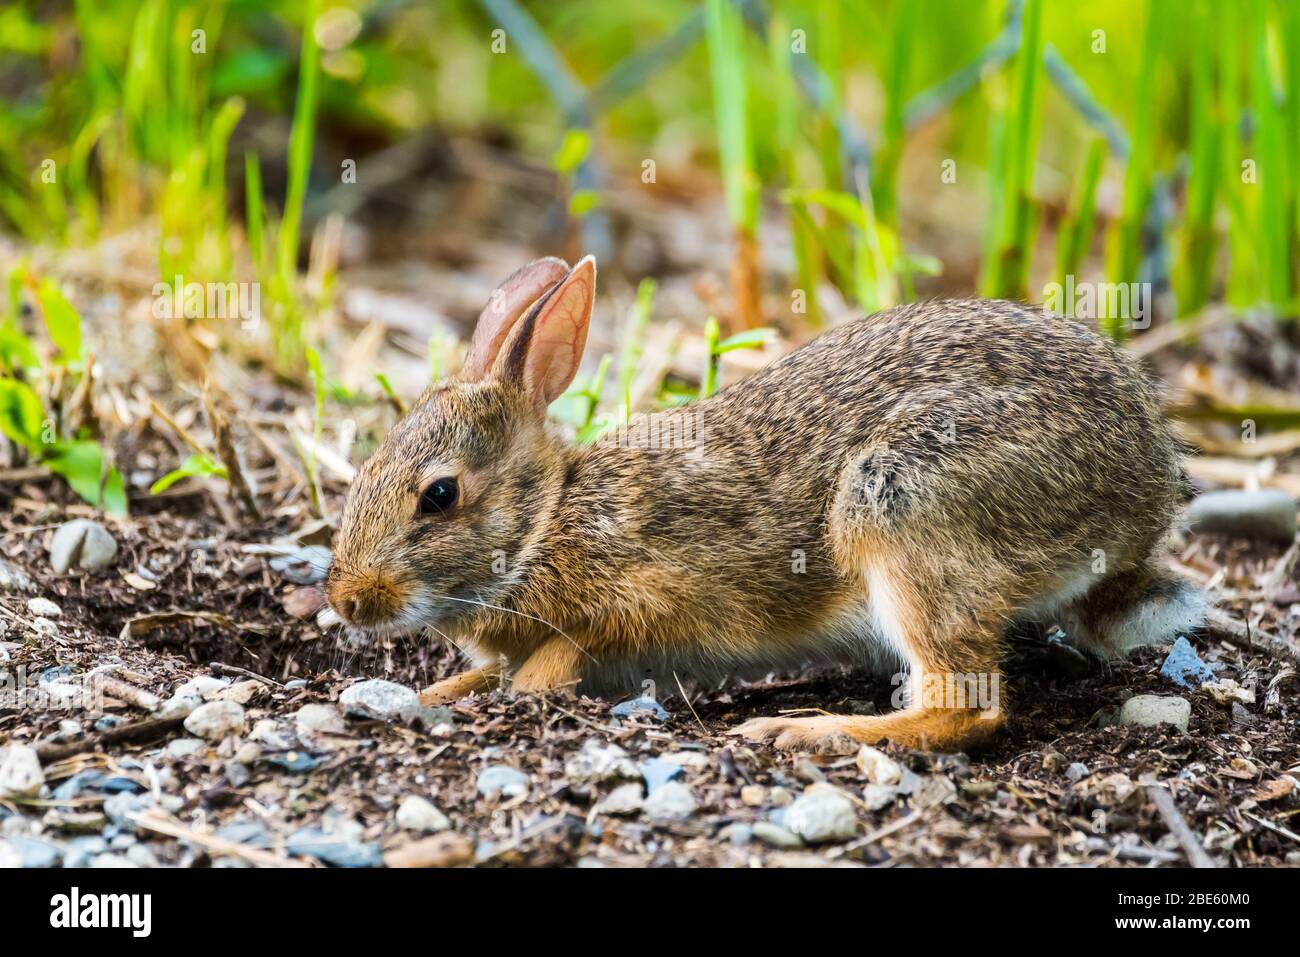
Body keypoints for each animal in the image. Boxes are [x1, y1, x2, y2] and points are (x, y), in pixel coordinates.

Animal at [322, 257, 1196, 748]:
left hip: (903, 504)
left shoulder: (636, 602)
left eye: (439, 496)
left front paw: (516, 691)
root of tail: (1144, 494)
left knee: (965, 707)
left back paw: (804, 729)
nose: (350, 600)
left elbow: (557, 661)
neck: (548, 520)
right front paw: (429, 694)